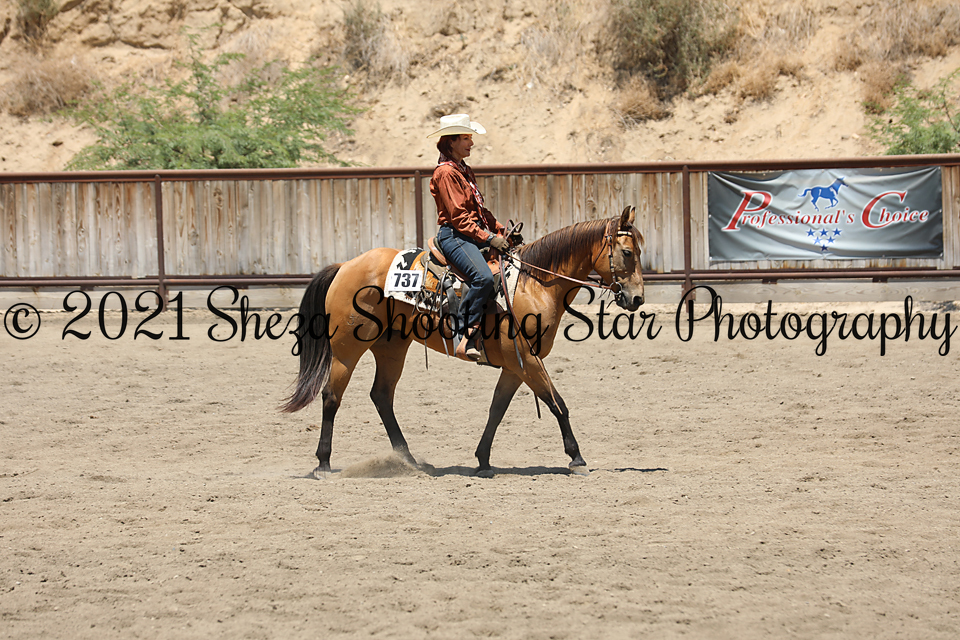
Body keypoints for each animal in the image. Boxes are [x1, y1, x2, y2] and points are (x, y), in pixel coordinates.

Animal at [281, 205, 645, 478]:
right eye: (627, 252)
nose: (637, 298)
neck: (533, 284)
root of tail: (345, 266)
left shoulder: (515, 366)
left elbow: (497, 409)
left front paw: (483, 460)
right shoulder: (528, 359)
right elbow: (557, 403)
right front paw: (577, 458)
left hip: (392, 347)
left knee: (381, 396)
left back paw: (408, 460)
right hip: (347, 348)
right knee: (332, 396)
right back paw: (323, 464)